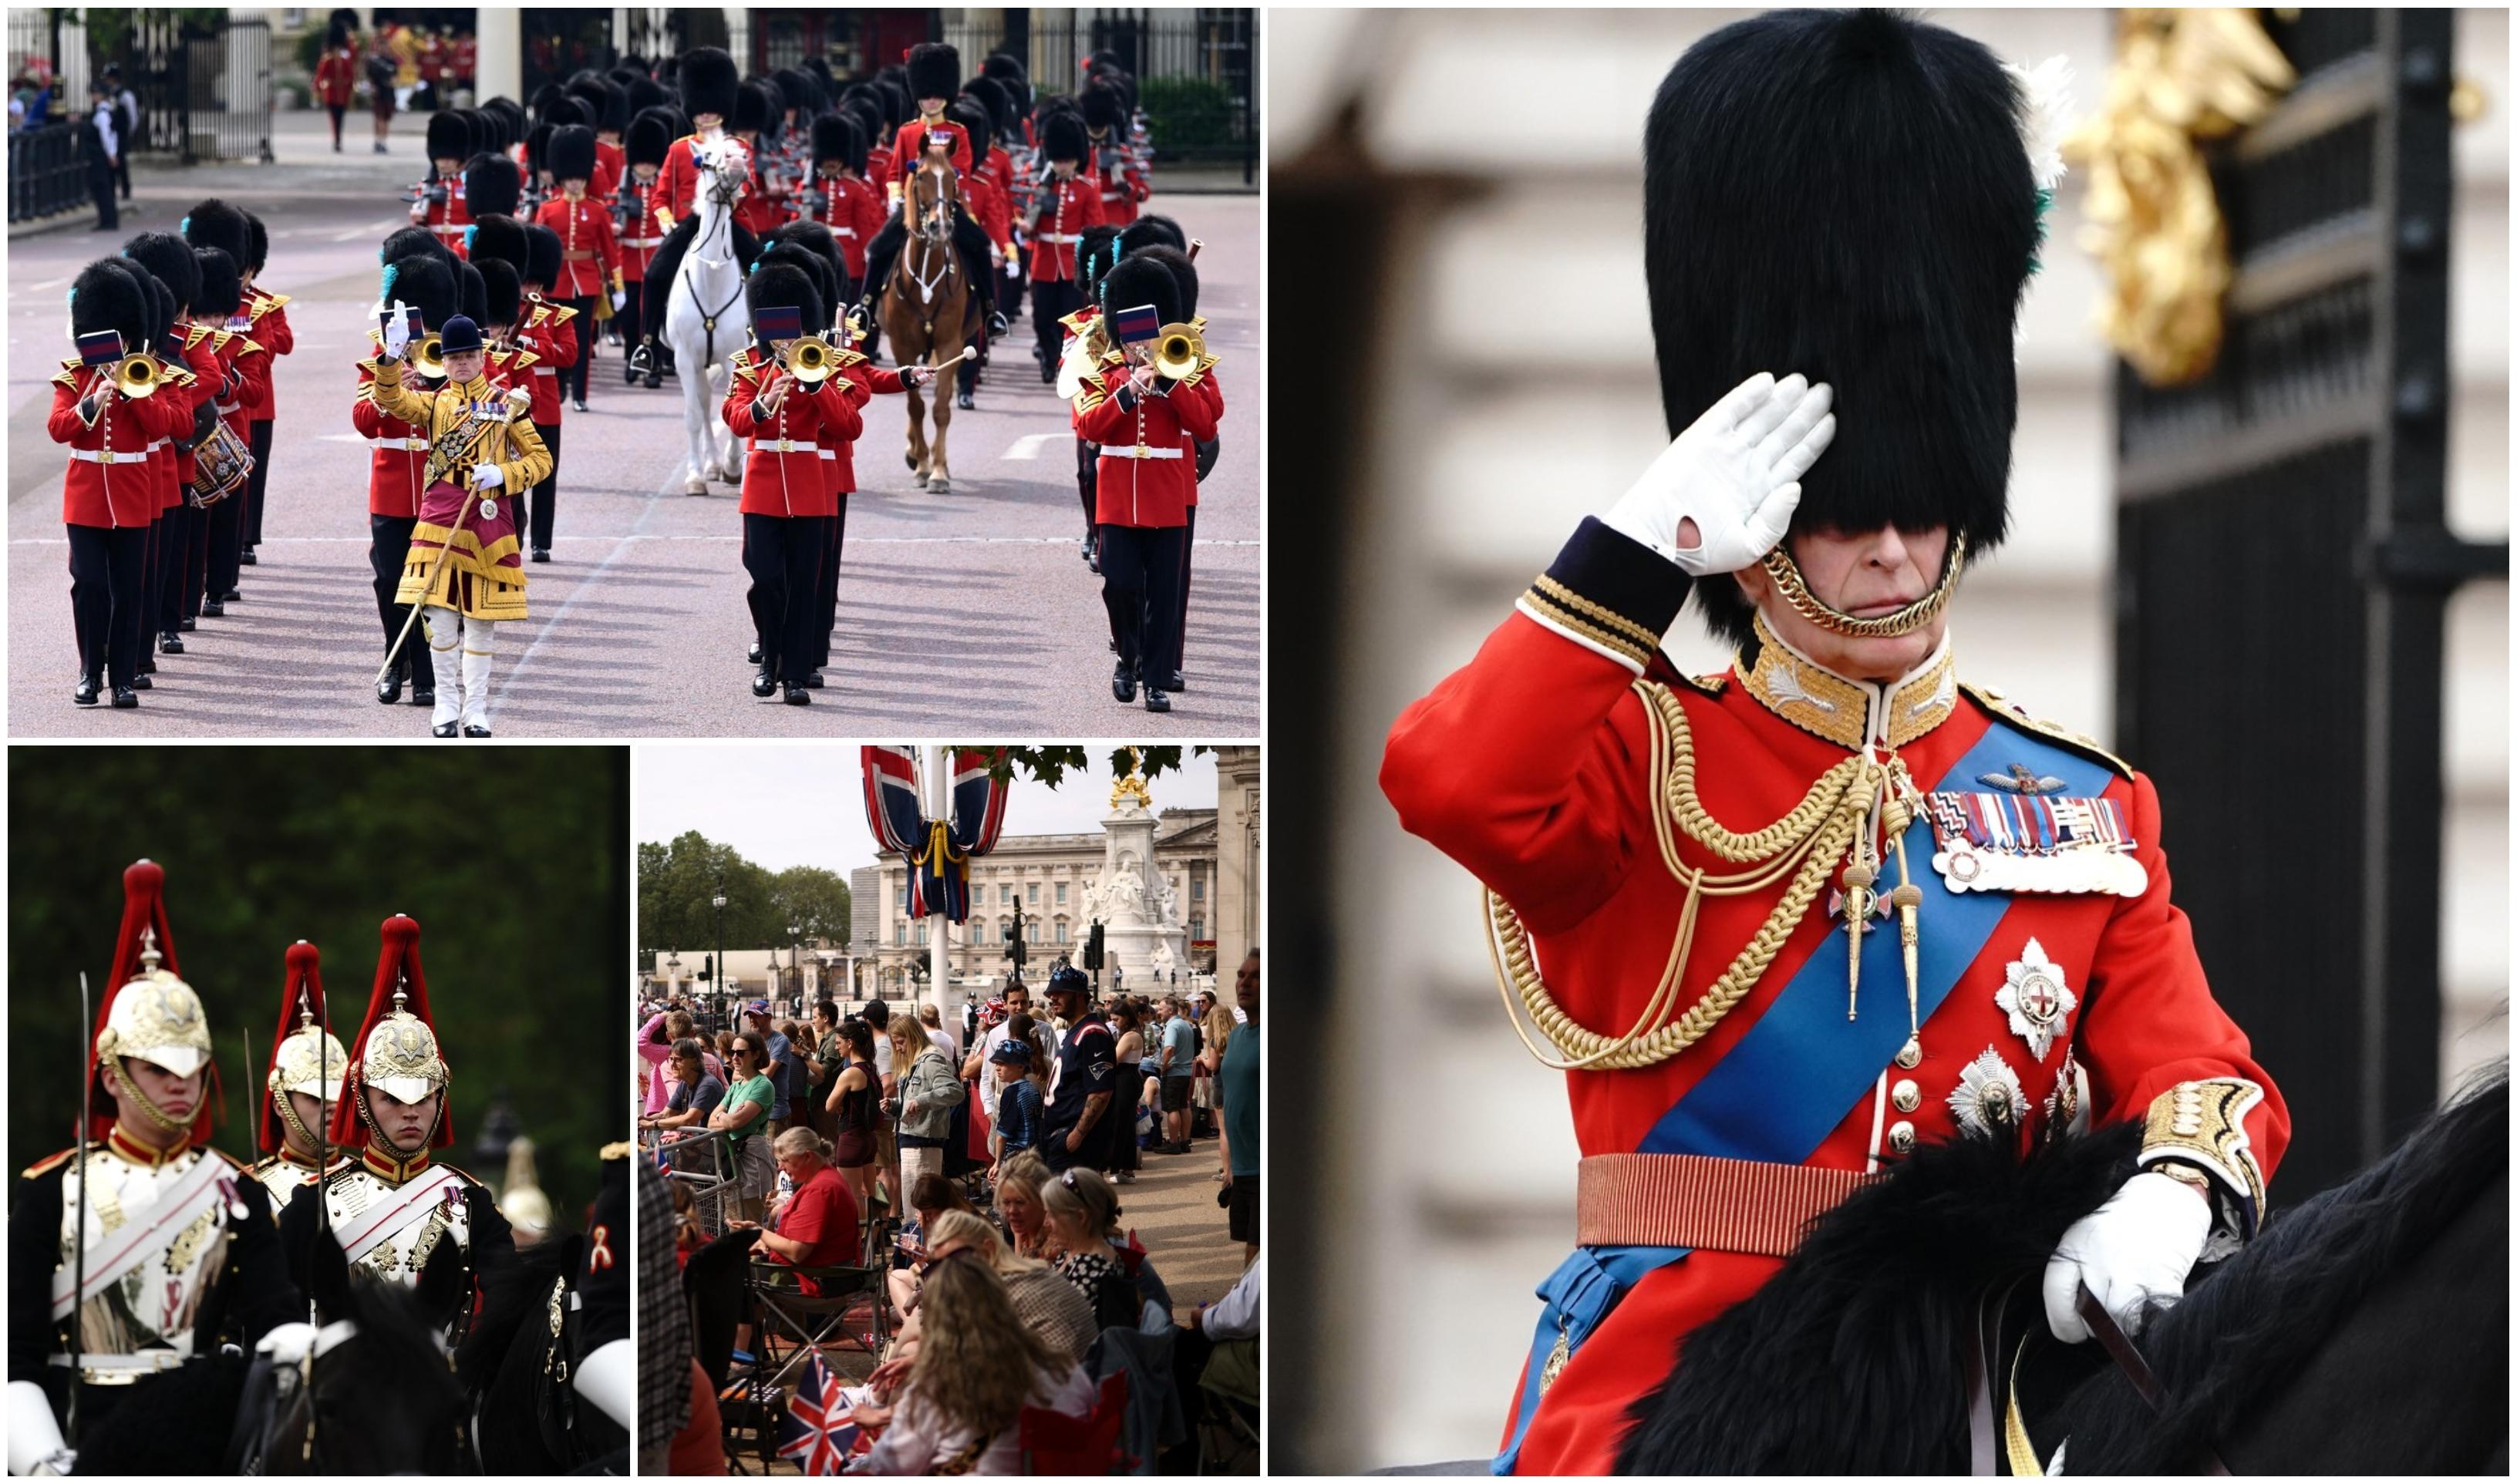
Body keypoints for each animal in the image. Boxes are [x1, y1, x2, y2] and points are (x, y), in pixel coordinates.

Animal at [875, 159, 971, 495]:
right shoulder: (901, 345)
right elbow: (914, 404)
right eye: (920, 179)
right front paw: (922, 466)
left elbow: (941, 408)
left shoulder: (950, 344)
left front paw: (938, 472)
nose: (939, 227)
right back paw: (915, 453)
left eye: (953, 178)